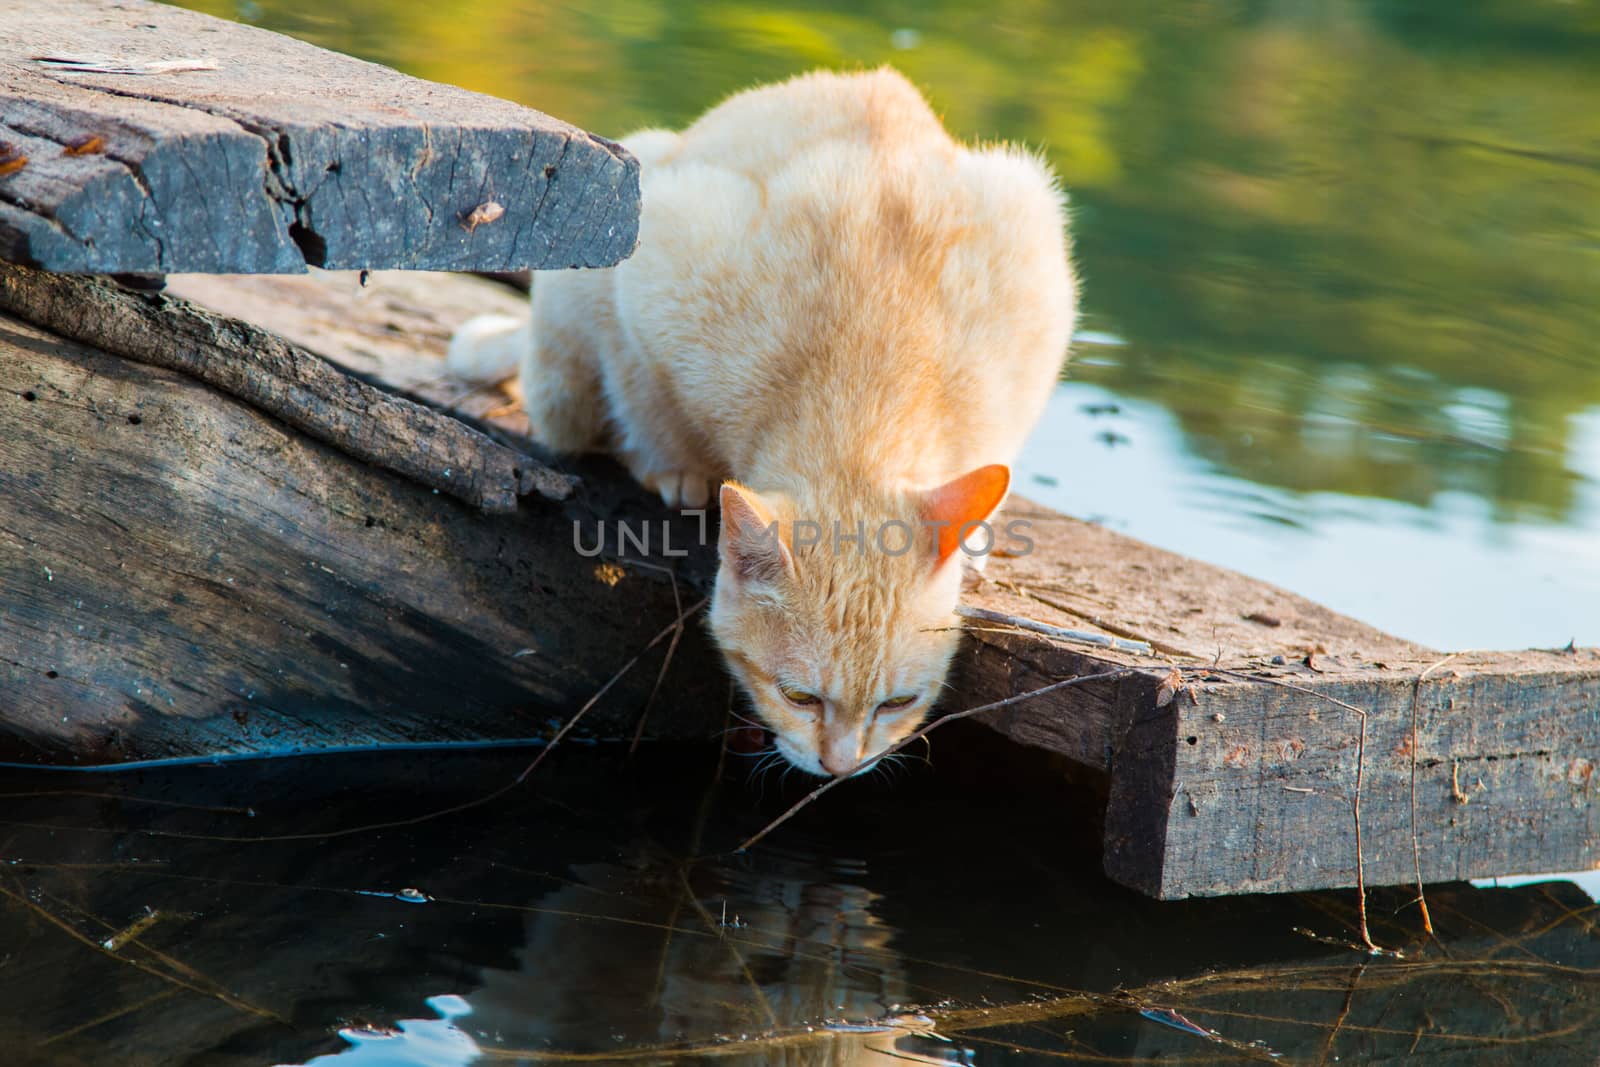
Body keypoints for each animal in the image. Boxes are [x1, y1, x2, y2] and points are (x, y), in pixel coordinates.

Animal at [451, 70, 1075, 780]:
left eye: (897, 703)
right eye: (798, 696)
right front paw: (674, 467)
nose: (841, 767)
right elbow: (644, 397)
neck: (871, 387)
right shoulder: (648, 261)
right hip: (574, 342)